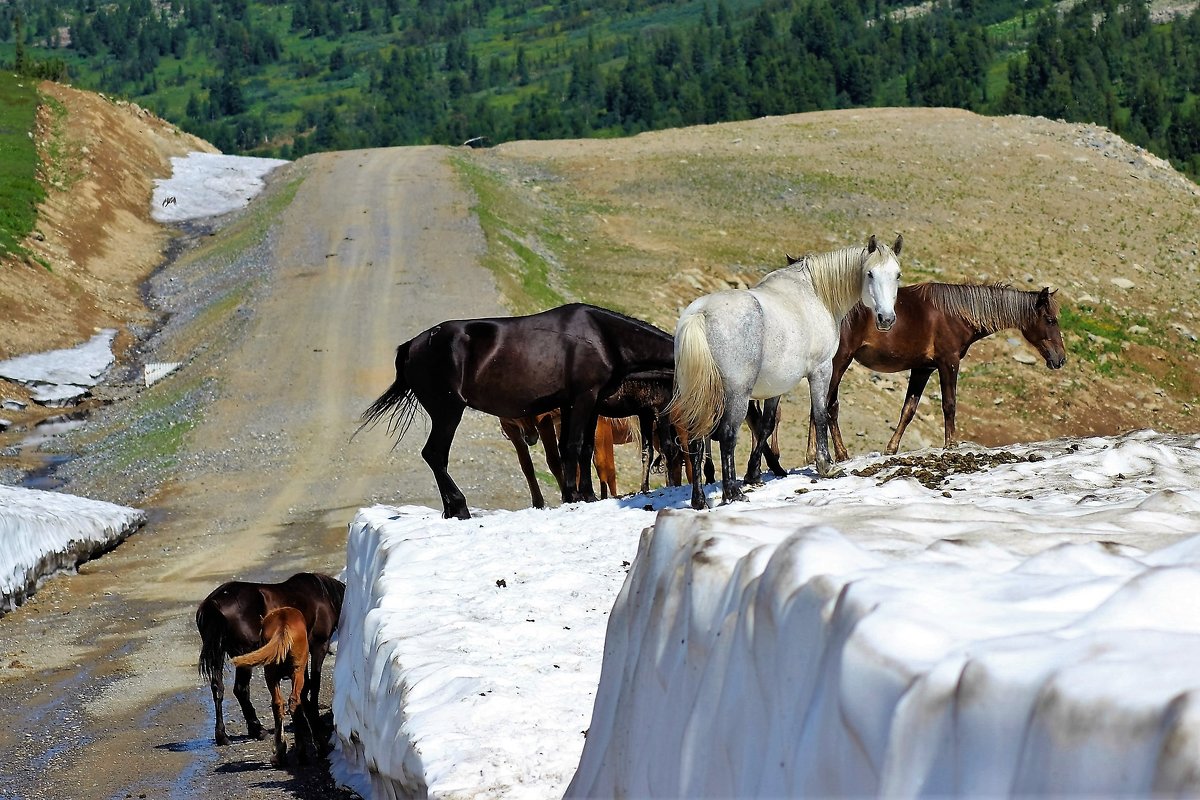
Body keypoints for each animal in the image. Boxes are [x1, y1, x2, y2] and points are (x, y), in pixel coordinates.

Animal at [192, 573, 343, 748]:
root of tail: (213, 603)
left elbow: (304, 685)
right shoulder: (319, 645)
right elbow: (314, 683)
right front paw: (316, 720)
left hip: (218, 654)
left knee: (218, 689)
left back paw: (222, 735)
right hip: (244, 655)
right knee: (241, 690)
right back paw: (258, 730)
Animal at [230, 606, 314, 767]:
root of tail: (283, 625)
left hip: (272, 674)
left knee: (280, 704)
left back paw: (283, 754)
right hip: (295, 672)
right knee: (290, 702)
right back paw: (296, 754)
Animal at [355, 302, 676, 520]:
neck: (603, 335)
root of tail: (412, 345)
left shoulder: (586, 402)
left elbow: (581, 449)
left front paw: (585, 494)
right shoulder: (583, 398)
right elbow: (572, 447)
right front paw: (573, 495)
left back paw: (451, 509)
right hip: (448, 412)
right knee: (435, 455)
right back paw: (459, 507)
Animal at [667, 232, 902, 506]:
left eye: (897, 274)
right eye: (870, 274)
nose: (886, 319)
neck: (815, 293)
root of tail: (701, 314)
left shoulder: (775, 388)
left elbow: (766, 425)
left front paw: (754, 474)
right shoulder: (821, 370)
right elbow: (820, 414)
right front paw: (826, 465)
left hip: (700, 395)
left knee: (695, 438)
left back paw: (699, 501)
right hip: (736, 395)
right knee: (727, 436)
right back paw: (732, 493)